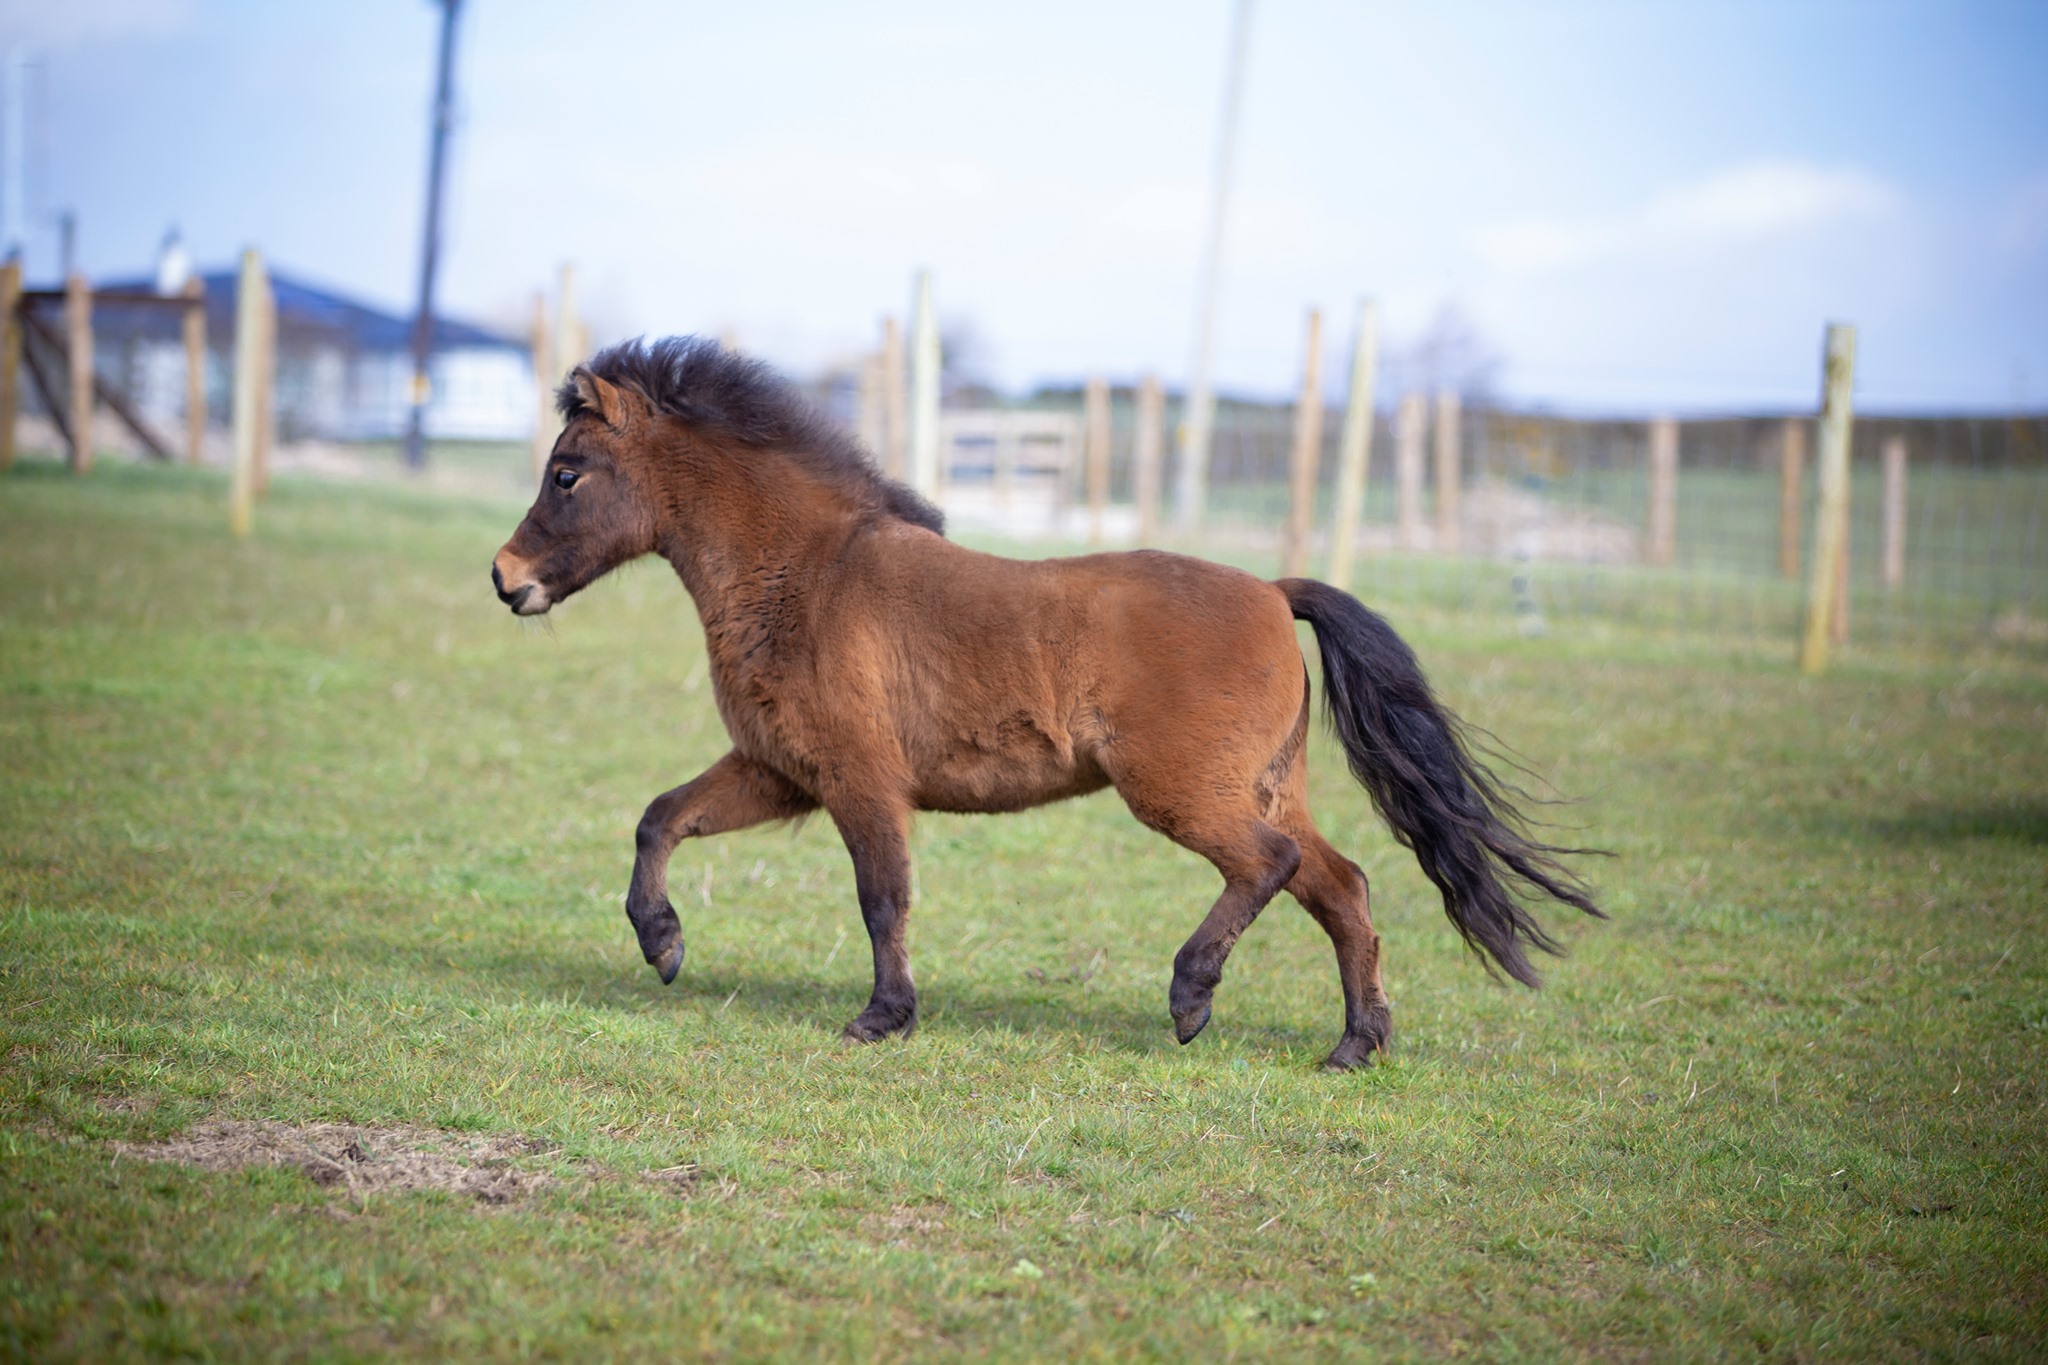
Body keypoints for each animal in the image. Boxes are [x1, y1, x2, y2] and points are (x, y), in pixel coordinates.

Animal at [491, 337, 1602, 1070]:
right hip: (1264, 785)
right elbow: (659, 819)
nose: (506, 579)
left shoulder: (859, 780)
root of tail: (1269, 590)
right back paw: (1353, 1044)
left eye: (567, 472)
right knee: (1345, 887)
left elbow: (881, 896)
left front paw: (882, 1016)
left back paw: (1191, 998)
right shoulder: (779, 771)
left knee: (1272, 866)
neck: (804, 576)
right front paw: (662, 943)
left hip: (1180, 792)